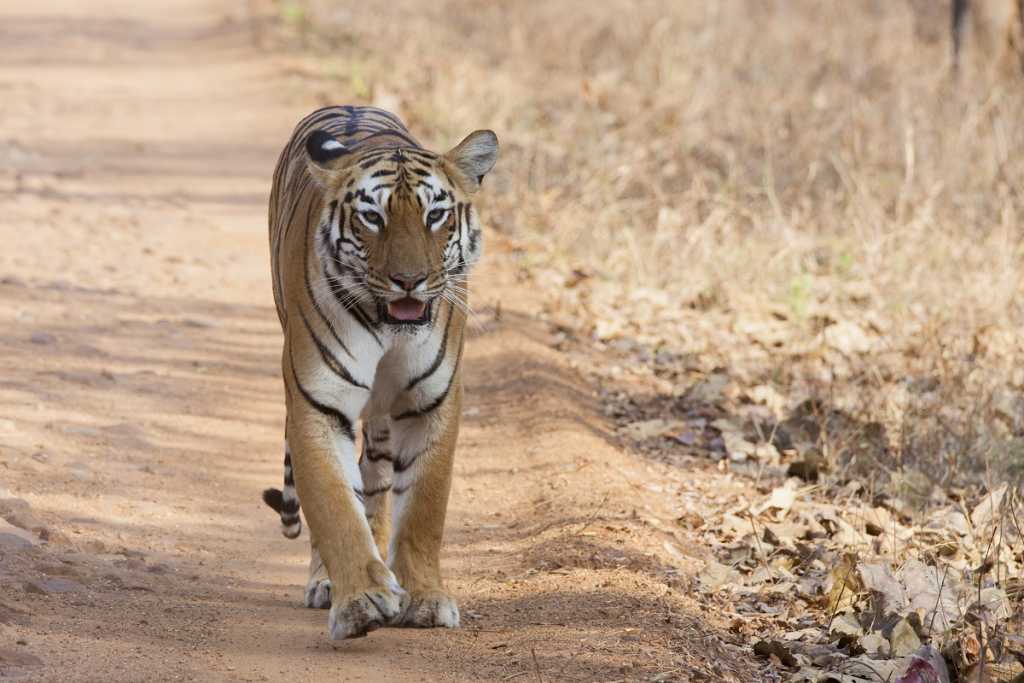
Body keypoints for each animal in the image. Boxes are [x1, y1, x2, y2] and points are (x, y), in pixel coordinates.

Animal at [262, 104, 497, 638]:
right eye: (373, 216)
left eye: (435, 215)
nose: (409, 281)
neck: (391, 330)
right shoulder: (318, 403)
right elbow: (333, 505)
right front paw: (360, 601)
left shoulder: (432, 403)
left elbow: (423, 509)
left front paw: (425, 599)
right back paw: (329, 583)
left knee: (376, 480)